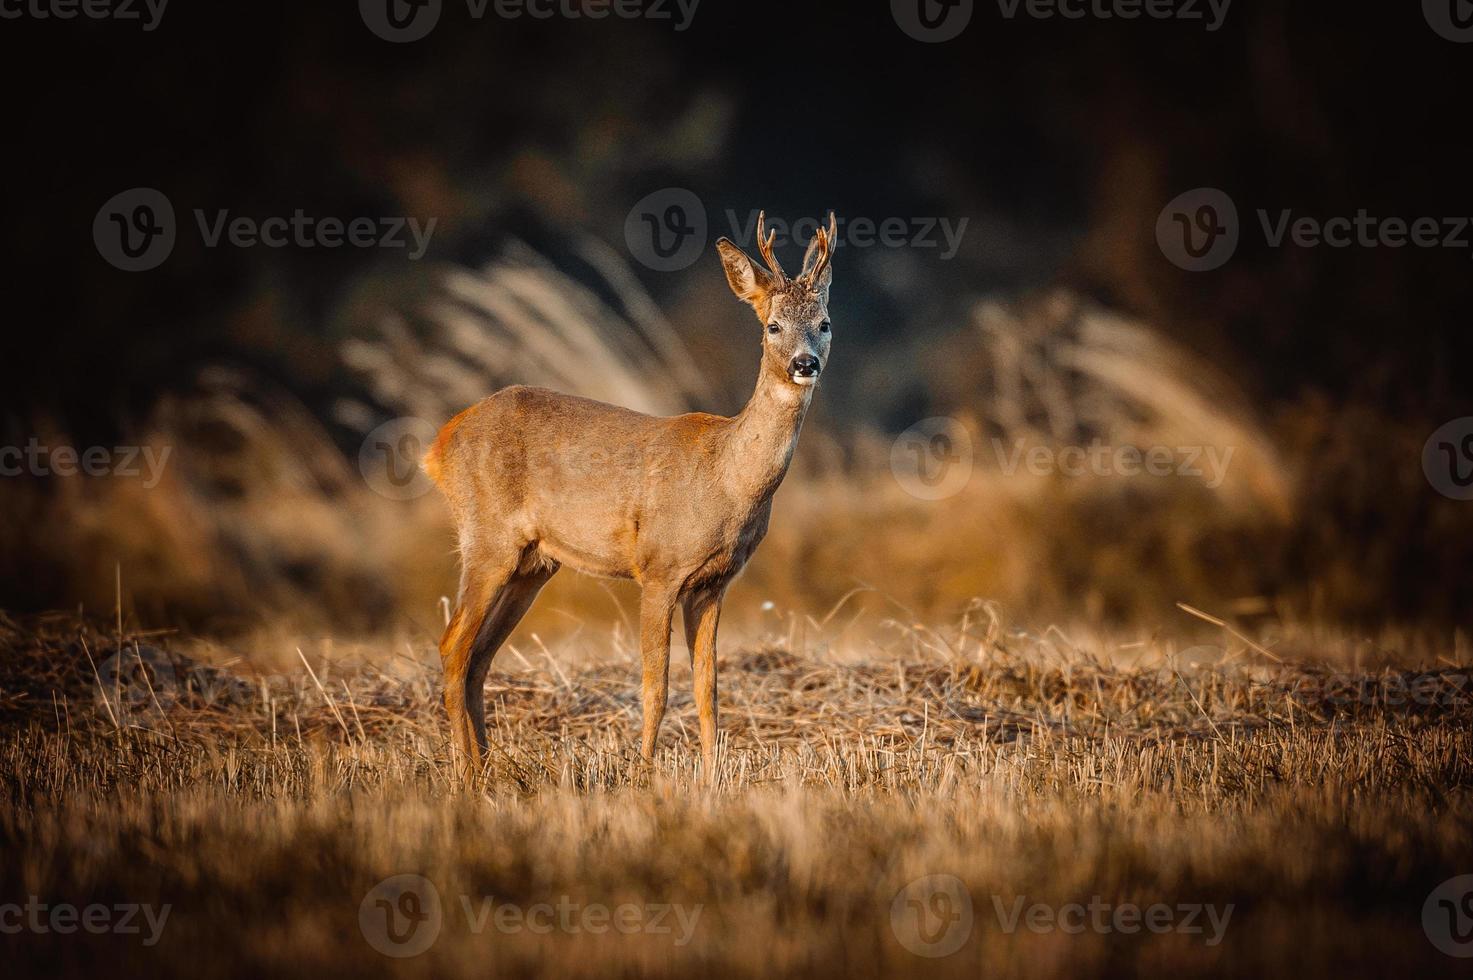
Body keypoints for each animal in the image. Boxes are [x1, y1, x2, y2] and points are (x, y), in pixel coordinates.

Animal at [427, 212, 842, 778]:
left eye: (824, 323)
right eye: (772, 326)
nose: (805, 364)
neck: (726, 477)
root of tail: (441, 442)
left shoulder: (714, 583)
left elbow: (709, 690)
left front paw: (712, 776)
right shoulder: (660, 569)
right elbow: (656, 687)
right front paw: (643, 772)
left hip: (534, 563)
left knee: (479, 656)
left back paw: (490, 768)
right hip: (487, 538)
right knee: (453, 646)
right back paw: (468, 774)